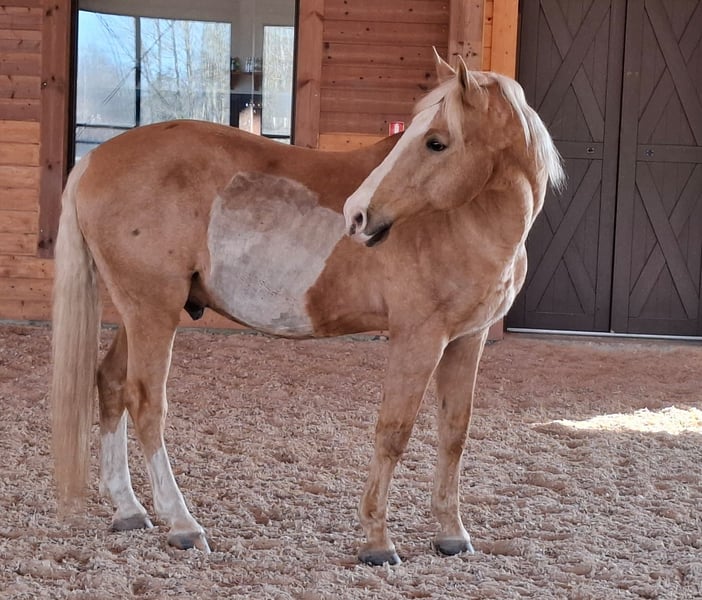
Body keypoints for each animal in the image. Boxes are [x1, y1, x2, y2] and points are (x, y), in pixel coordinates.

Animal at [51, 53, 564, 566]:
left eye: (437, 142)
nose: (357, 214)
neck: (465, 219)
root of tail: (95, 159)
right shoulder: (418, 339)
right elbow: (393, 432)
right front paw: (377, 541)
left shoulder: (466, 340)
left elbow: (454, 433)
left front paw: (452, 534)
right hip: (152, 310)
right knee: (145, 402)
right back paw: (182, 524)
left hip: (141, 313)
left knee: (111, 384)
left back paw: (129, 510)